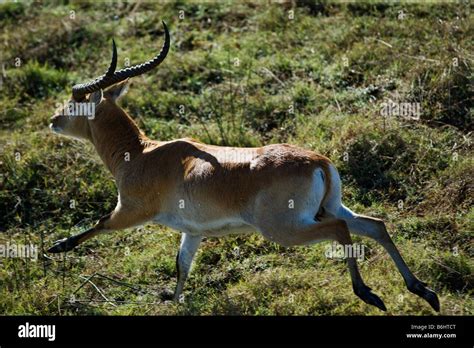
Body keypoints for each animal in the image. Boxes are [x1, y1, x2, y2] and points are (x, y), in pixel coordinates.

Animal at [48, 20, 440, 312]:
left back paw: (369, 294)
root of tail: (319, 162)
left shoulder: (129, 210)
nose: (53, 120)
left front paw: (55, 247)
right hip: (328, 207)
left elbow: (99, 224)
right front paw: (174, 302)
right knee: (375, 226)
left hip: (285, 227)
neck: (141, 154)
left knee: (341, 230)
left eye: (76, 100)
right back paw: (424, 291)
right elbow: (182, 267)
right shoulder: (193, 231)